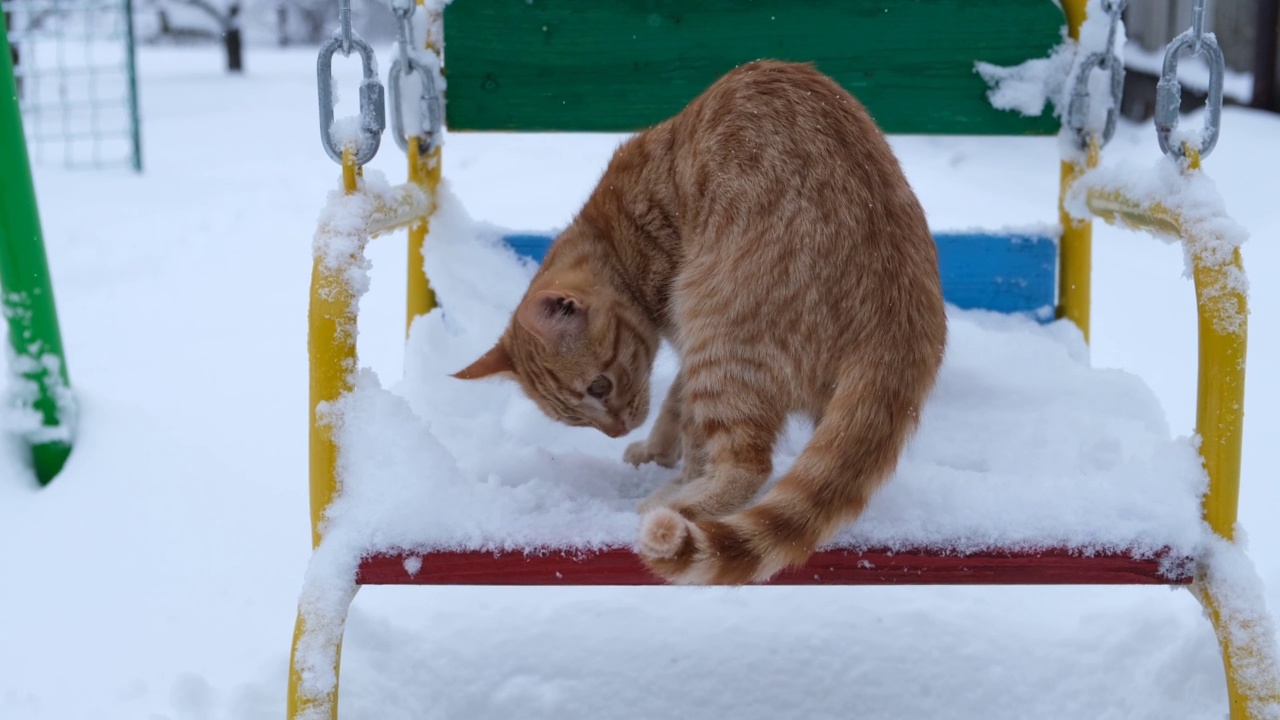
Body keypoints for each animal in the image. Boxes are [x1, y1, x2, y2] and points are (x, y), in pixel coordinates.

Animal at [455, 60, 947, 584]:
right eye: (575, 419)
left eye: (600, 386)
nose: (617, 431)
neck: (611, 237)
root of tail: (899, 311)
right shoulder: (685, 355)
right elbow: (676, 400)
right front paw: (656, 447)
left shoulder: (688, 335)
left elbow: (692, 432)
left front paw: (675, 470)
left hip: (717, 335)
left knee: (750, 467)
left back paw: (678, 505)